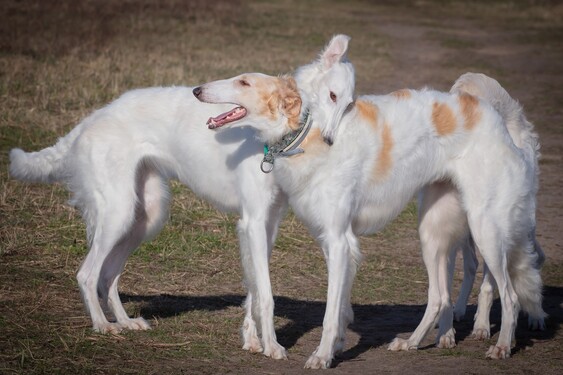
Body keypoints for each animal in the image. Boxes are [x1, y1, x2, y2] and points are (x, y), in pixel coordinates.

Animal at [195, 35, 548, 368]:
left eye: (244, 82)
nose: (198, 89)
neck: (307, 128)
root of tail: (501, 124)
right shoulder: (333, 239)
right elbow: (339, 307)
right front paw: (335, 347)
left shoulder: (339, 239)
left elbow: (330, 312)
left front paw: (322, 356)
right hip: (433, 232)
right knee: (439, 296)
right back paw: (412, 342)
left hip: (485, 228)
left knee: (509, 294)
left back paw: (500, 345)